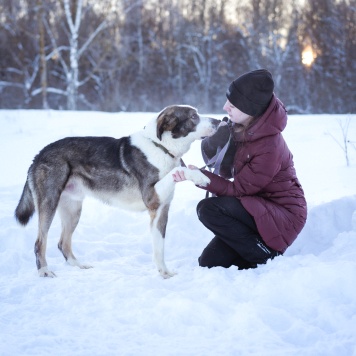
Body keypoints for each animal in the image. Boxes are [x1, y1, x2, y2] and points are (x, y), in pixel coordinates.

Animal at [14, 105, 220, 278]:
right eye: (193, 116)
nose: (219, 121)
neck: (162, 148)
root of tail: (39, 155)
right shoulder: (152, 198)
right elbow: (181, 171)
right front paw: (200, 177)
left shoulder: (161, 211)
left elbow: (159, 247)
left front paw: (164, 273)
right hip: (49, 204)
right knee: (40, 242)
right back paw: (44, 271)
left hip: (73, 210)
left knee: (63, 243)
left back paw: (79, 265)